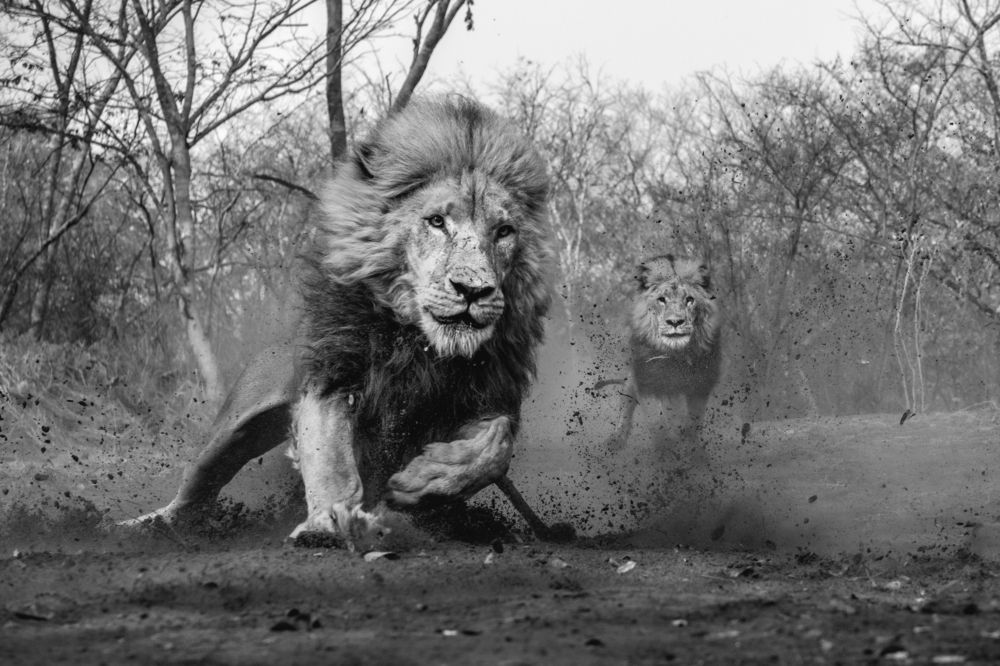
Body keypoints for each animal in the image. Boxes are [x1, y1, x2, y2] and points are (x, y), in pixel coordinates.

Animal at [121, 97, 571, 547]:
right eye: (436, 221)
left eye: (504, 231)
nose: (473, 290)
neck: (422, 346)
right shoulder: (333, 378)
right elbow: (330, 457)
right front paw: (330, 520)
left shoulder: (490, 395)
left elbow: (494, 448)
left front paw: (426, 480)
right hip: (234, 427)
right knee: (195, 486)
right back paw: (144, 525)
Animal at [602, 253, 722, 453]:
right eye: (662, 299)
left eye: (689, 299)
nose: (675, 322)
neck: (677, 355)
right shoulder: (648, 383)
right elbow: (658, 424)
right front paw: (666, 452)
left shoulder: (700, 386)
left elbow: (692, 423)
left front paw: (692, 451)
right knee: (626, 405)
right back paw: (615, 440)